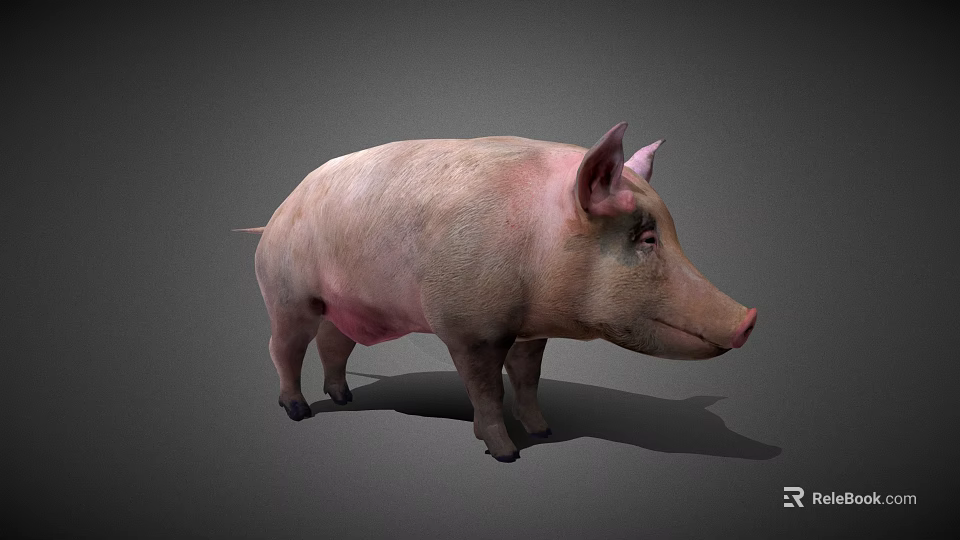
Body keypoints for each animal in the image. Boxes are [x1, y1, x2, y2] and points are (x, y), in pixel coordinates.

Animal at [236, 122, 757, 462]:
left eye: (670, 233)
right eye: (647, 238)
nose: (750, 318)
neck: (539, 239)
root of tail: (276, 214)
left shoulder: (529, 332)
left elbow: (527, 379)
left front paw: (544, 431)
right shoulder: (469, 328)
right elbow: (487, 390)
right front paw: (507, 454)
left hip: (345, 304)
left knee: (333, 342)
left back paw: (344, 398)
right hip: (287, 295)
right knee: (282, 347)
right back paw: (300, 411)